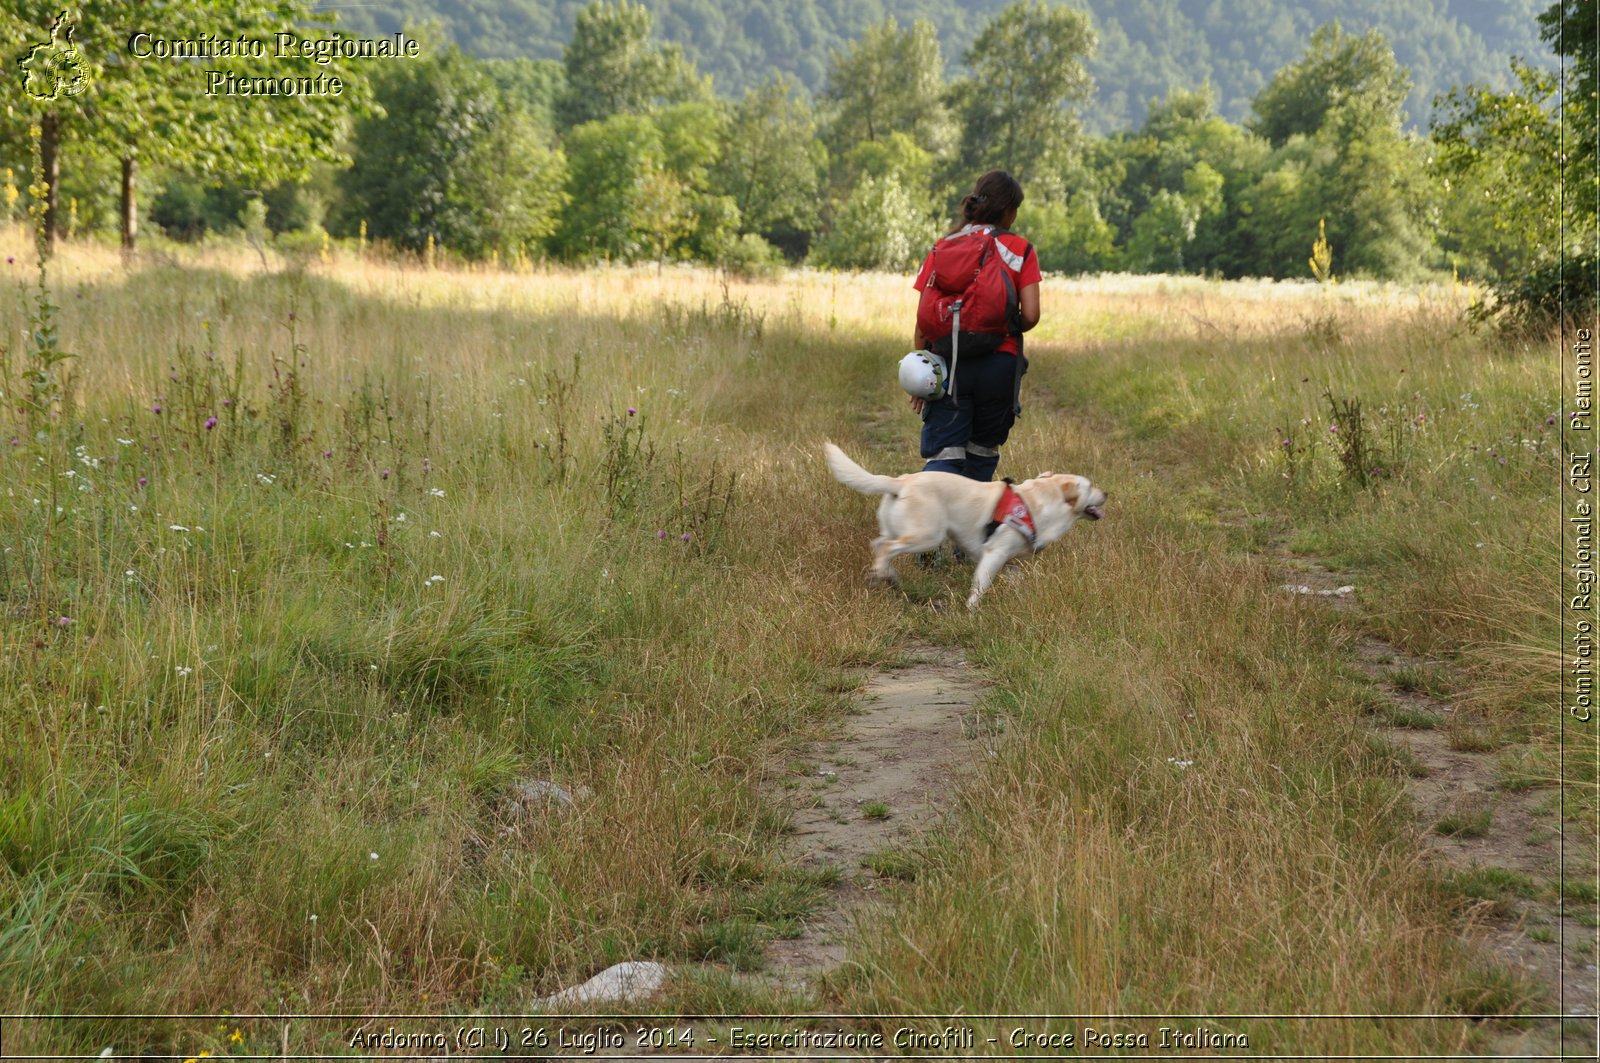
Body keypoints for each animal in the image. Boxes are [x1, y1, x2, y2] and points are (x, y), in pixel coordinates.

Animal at [825, 438, 1100, 605]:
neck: (1037, 502)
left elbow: (1015, 581)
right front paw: (971, 610)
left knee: (878, 544)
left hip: (900, 529)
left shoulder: (1008, 562)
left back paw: (886, 576)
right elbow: (980, 585)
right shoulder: (994, 554)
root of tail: (900, 482)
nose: (1106, 493)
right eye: (1090, 486)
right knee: (886, 548)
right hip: (928, 535)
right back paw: (884, 575)